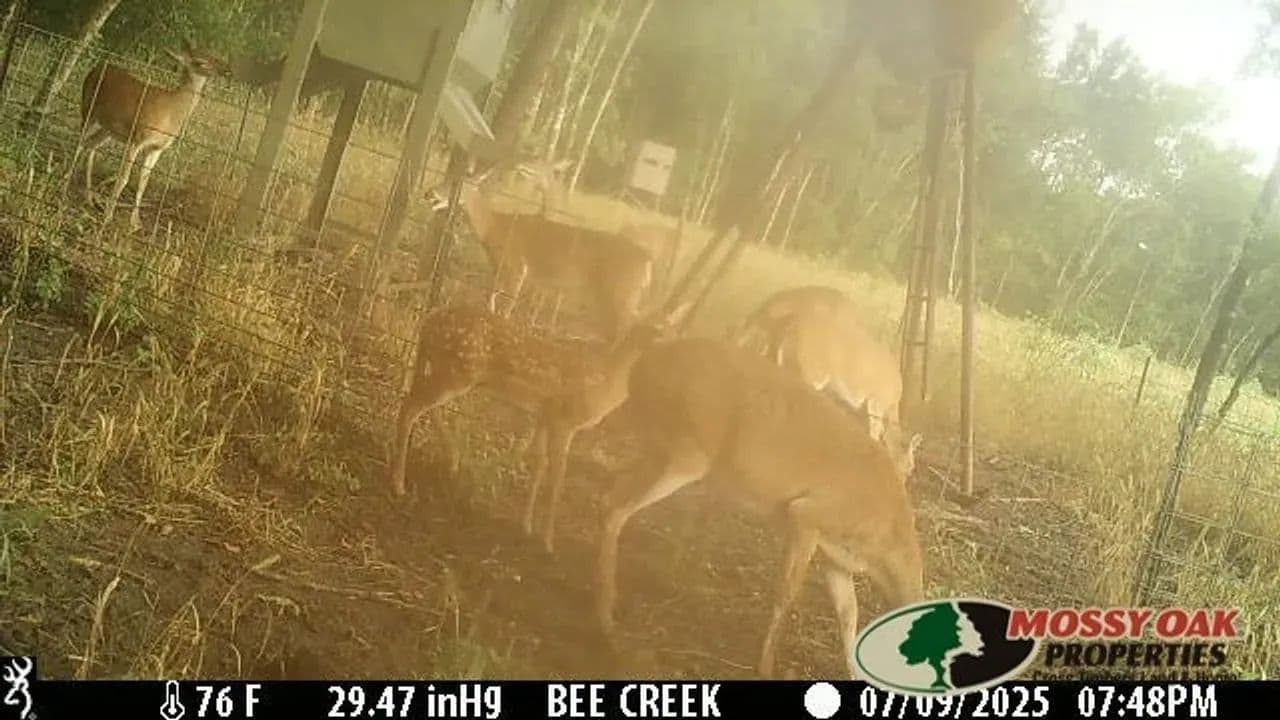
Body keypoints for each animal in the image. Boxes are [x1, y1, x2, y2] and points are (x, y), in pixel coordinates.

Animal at [76, 40, 229, 231]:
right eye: (200, 61)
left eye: (213, 54)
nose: (225, 69)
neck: (172, 112)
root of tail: (97, 67)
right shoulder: (138, 138)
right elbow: (124, 178)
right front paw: (108, 216)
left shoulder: (157, 148)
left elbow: (143, 183)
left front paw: (135, 222)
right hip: (88, 107)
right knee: (80, 140)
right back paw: (65, 177)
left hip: (108, 128)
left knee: (90, 145)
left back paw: (89, 198)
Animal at [390, 300, 688, 552]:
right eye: (657, 328)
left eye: (672, 326)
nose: (677, 350)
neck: (606, 383)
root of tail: (429, 320)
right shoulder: (565, 421)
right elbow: (557, 478)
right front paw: (548, 541)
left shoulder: (545, 416)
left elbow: (539, 465)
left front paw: (526, 526)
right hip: (456, 372)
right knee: (410, 408)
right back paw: (399, 483)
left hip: (449, 373)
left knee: (422, 405)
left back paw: (451, 461)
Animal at [429, 166, 655, 346]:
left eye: (455, 182)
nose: (429, 192)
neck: (493, 226)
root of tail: (647, 260)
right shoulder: (502, 268)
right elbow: (491, 296)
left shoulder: (516, 266)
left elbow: (506, 304)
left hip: (623, 290)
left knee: (626, 326)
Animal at [596, 336, 926, 678]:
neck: (888, 541)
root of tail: (644, 362)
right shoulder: (807, 516)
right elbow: (787, 593)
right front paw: (765, 666)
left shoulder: (837, 559)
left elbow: (849, 615)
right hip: (687, 450)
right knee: (618, 507)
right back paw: (607, 621)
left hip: (658, 445)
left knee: (611, 499)